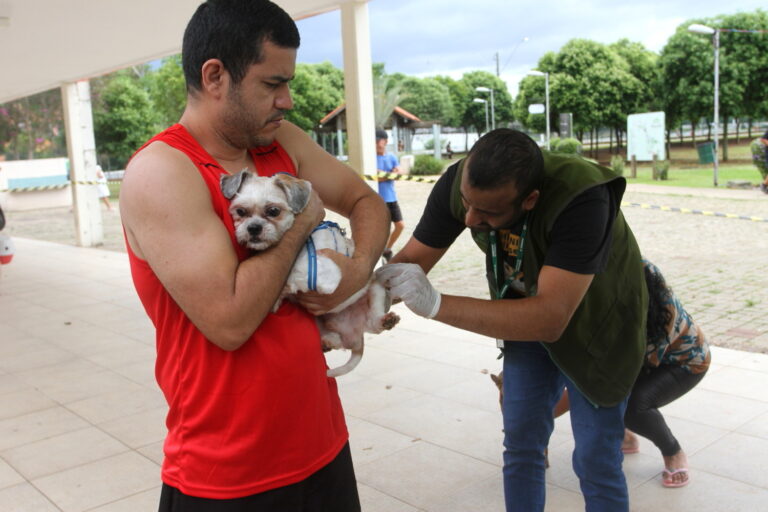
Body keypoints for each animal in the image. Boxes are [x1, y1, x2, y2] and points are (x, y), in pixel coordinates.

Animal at [219, 171, 400, 376]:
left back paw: (385, 320)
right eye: (241, 212)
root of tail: (354, 334)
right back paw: (329, 340)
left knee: (373, 323)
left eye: (273, 211)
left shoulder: (325, 274)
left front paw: (279, 296)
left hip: (376, 289)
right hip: (320, 321)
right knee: (337, 338)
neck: (303, 243)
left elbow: (293, 276)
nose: (253, 228)